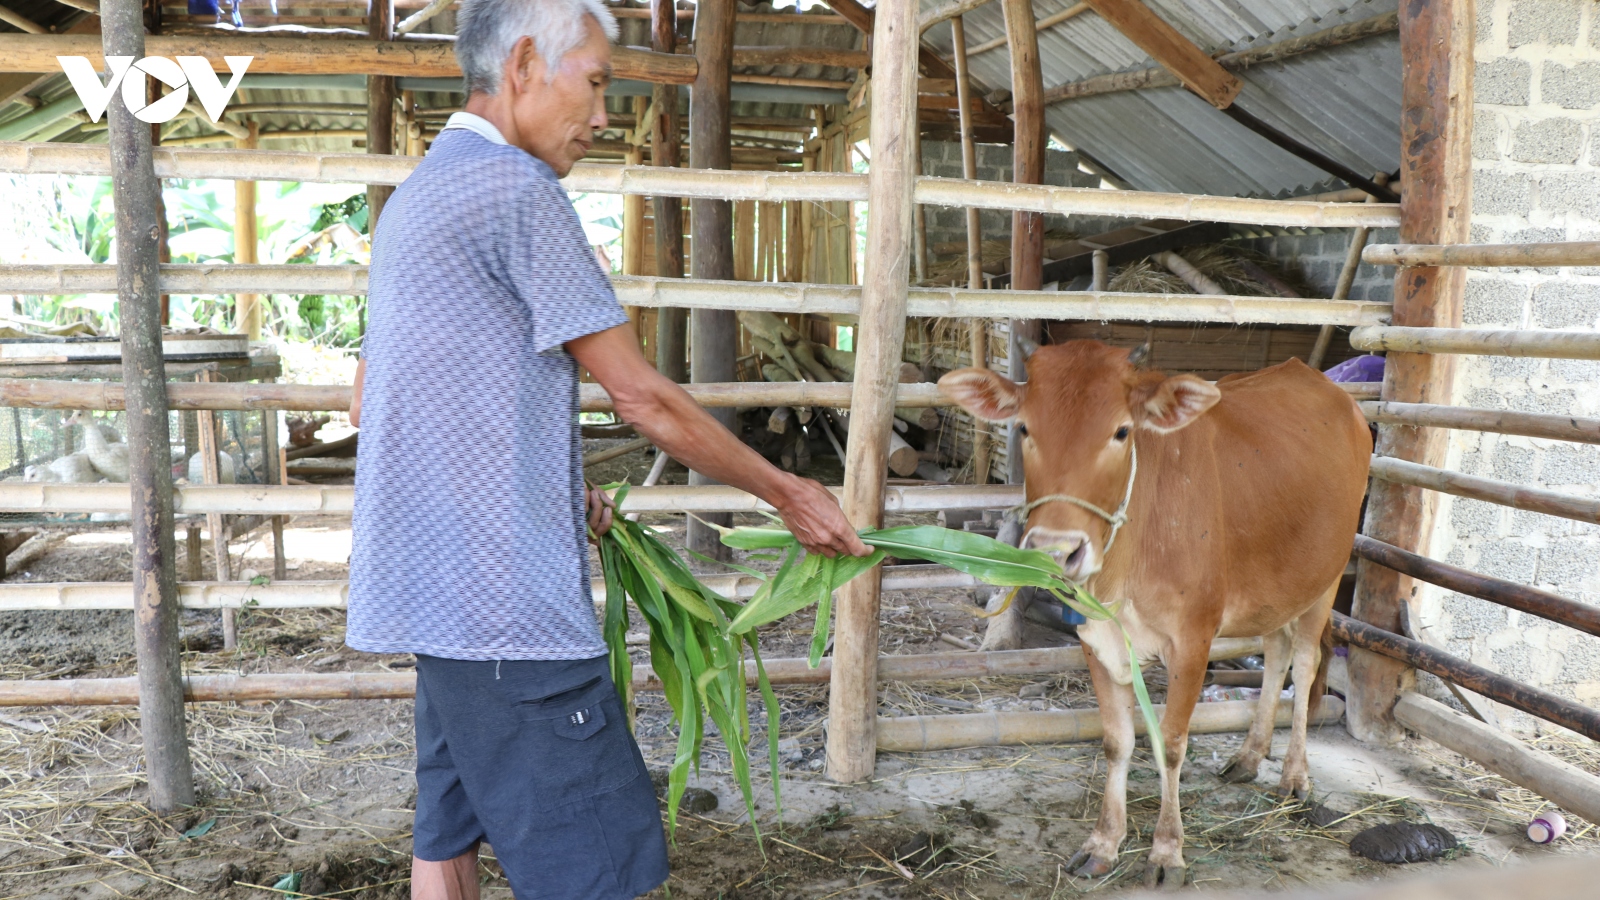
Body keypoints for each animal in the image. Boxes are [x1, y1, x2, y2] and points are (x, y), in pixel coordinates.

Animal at [940, 341, 1369, 883]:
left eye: (1122, 431)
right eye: (1024, 429)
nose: (1058, 552)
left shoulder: (1193, 640)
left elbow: (1171, 742)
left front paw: (1167, 850)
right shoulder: (1097, 639)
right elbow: (1116, 741)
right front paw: (1104, 841)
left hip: (1326, 579)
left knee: (1307, 662)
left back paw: (1294, 776)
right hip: (1276, 590)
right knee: (1275, 656)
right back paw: (1249, 756)